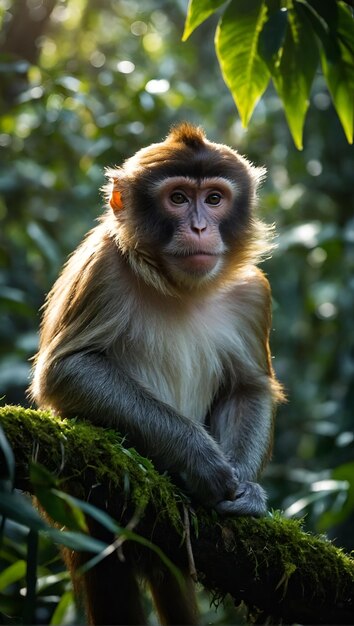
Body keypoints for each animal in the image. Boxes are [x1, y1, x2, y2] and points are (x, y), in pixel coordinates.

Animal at [30, 123, 284, 624]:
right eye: (179, 198)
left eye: (214, 199)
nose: (201, 228)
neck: (180, 287)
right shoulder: (102, 269)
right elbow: (69, 371)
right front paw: (200, 459)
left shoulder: (252, 292)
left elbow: (248, 387)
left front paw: (246, 490)